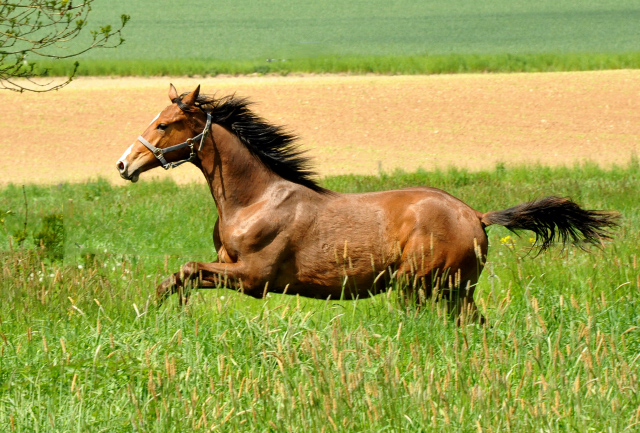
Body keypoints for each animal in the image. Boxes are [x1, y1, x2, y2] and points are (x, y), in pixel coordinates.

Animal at [116, 84, 620, 322]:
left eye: (165, 124)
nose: (124, 164)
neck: (255, 199)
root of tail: (476, 215)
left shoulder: (253, 278)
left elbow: (184, 270)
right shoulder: (228, 268)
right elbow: (178, 278)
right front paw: (156, 313)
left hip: (423, 287)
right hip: (457, 290)